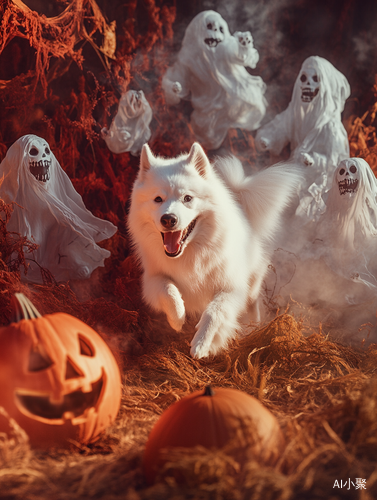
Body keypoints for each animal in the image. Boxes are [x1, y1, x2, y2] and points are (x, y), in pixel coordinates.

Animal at [128, 143, 298, 358]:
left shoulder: (231, 287)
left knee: (253, 303)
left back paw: (255, 326)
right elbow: (169, 291)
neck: (191, 253)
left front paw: (202, 343)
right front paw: (178, 318)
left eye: (188, 198)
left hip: (252, 283)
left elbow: (214, 312)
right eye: (158, 199)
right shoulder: (153, 279)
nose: (168, 219)